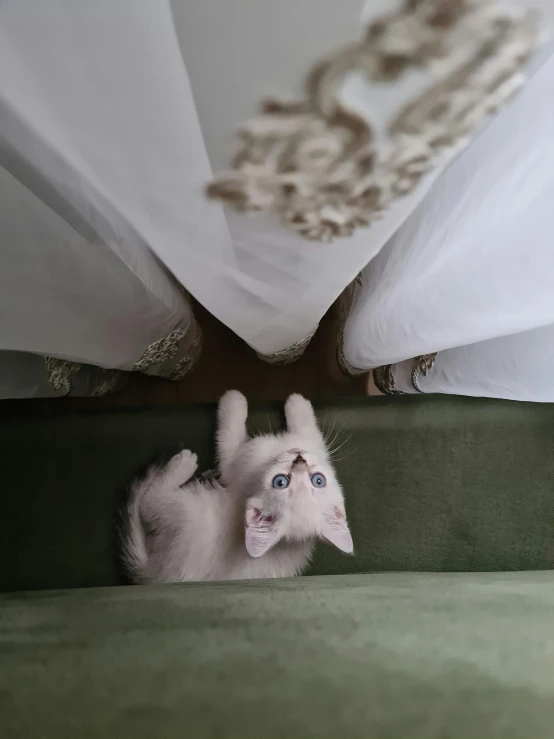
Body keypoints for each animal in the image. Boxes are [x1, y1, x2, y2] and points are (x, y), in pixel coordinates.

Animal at [122, 394, 354, 584]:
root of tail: (155, 574)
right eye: (319, 480)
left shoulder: (235, 463)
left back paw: (183, 464)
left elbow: (230, 436)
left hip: (189, 509)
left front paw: (236, 399)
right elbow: (306, 428)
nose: (300, 460)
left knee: (149, 502)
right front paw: (296, 400)